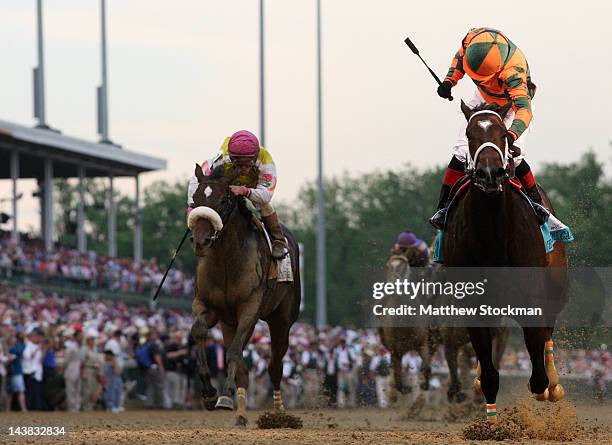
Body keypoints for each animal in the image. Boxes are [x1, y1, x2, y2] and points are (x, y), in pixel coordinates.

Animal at [188, 165, 300, 424]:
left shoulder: (250, 307)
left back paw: (279, 413)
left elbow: (235, 351)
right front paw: (210, 393)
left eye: (223, 200)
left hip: (282, 320)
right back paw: (238, 411)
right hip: (229, 323)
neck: (226, 261)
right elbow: (199, 332)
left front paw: (223, 394)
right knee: (243, 364)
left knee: (274, 365)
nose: (201, 241)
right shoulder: (207, 305)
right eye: (195, 198)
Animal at [440, 99, 568, 420]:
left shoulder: (532, 296)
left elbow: (537, 372)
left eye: (502, 135)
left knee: (548, 332)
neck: (494, 233)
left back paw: (554, 384)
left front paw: (545, 386)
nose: (490, 173)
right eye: (470, 134)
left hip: (557, 285)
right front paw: (491, 422)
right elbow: (489, 375)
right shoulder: (472, 304)